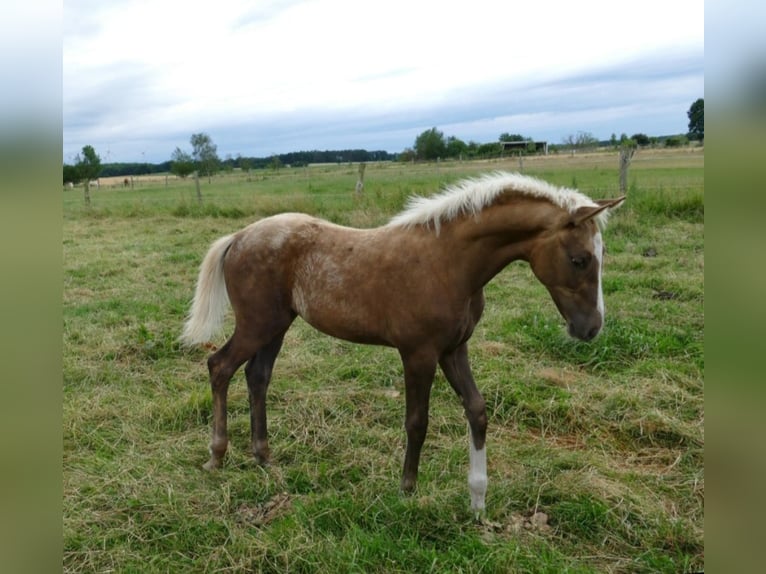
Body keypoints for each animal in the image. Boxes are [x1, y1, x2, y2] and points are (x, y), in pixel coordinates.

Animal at [183, 173, 628, 516]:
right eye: (580, 259)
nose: (591, 328)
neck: (449, 262)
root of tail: (239, 236)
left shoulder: (454, 349)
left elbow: (478, 411)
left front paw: (478, 500)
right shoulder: (419, 353)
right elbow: (417, 421)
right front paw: (407, 489)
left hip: (277, 326)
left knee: (257, 377)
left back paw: (264, 457)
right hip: (258, 324)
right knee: (220, 367)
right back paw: (217, 455)